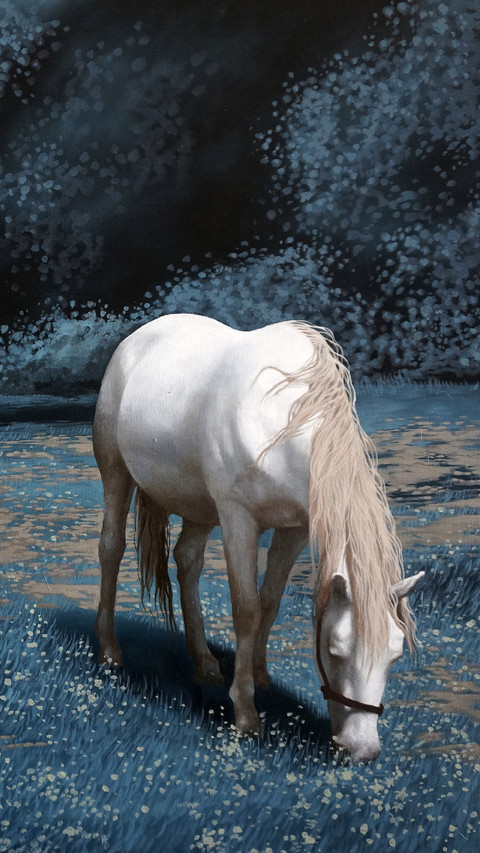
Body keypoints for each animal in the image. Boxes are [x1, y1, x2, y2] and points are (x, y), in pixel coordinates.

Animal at [93, 313, 423, 763]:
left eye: (395, 654)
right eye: (335, 650)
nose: (362, 749)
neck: (284, 421)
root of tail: (140, 335)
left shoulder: (295, 529)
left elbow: (270, 601)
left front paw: (261, 674)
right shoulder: (239, 520)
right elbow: (246, 609)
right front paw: (246, 714)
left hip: (200, 508)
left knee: (187, 560)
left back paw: (204, 664)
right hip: (116, 473)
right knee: (112, 548)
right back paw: (109, 651)